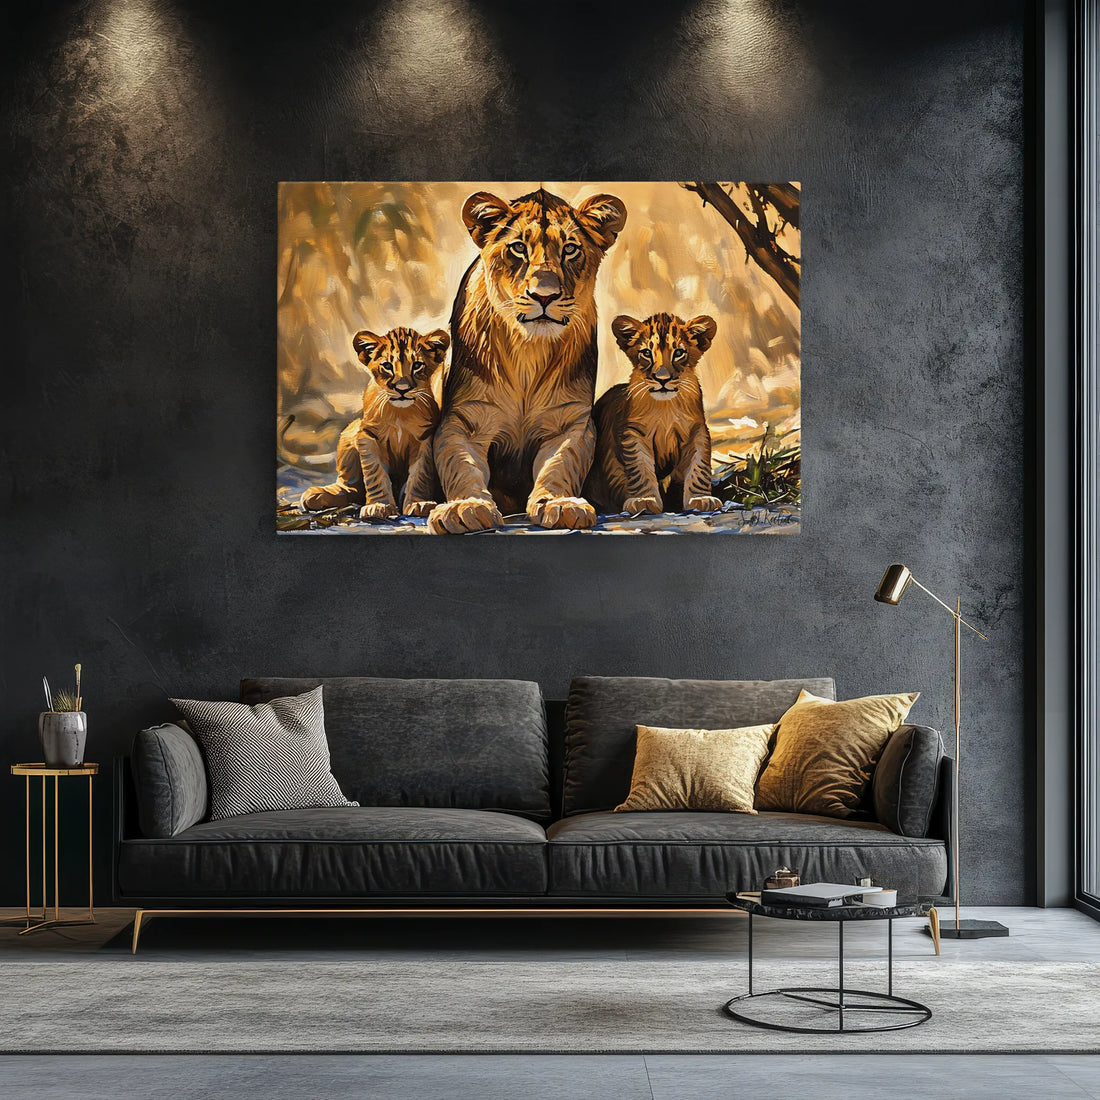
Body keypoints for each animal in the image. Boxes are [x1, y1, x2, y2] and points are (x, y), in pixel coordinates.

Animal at [427, 187, 627, 534]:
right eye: (519, 247)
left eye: (570, 249)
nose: (544, 295)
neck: (528, 350)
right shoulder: (463, 421)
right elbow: (461, 466)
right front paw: (466, 507)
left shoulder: (571, 422)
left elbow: (559, 465)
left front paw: (561, 503)